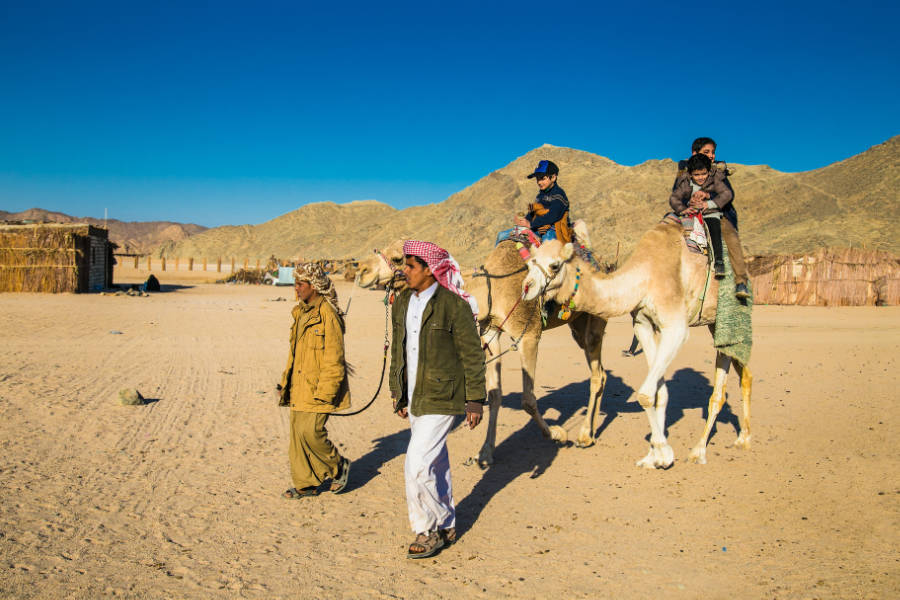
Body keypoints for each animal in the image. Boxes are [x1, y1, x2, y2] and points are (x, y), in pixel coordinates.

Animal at [356, 238, 608, 466]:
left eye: (399, 258)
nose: (361, 270)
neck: (491, 291)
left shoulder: (528, 335)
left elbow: (528, 400)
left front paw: (556, 433)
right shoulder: (490, 332)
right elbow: (494, 394)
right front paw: (484, 454)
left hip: (595, 317)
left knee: (597, 371)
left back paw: (585, 435)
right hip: (576, 323)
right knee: (601, 373)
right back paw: (591, 432)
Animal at [522, 223, 752, 468]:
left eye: (554, 265)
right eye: (529, 263)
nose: (526, 287)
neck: (644, 276)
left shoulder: (675, 328)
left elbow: (645, 394)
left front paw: (663, 453)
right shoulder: (643, 323)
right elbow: (659, 392)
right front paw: (654, 455)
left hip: (727, 318)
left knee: (721, 387)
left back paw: (701, 450)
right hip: (714, 323)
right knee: (743, 373)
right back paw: (742, 438)